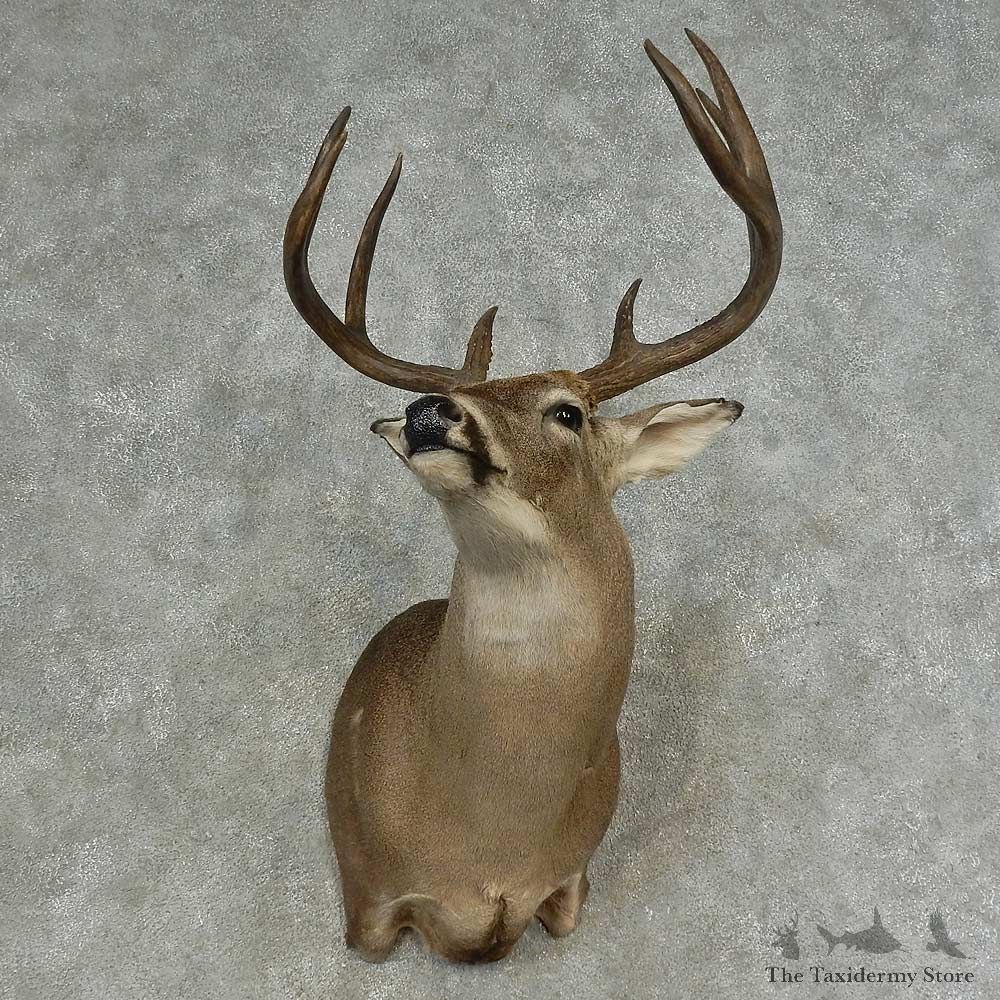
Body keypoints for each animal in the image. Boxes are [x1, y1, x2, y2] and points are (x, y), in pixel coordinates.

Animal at [283, 31, 782, 964]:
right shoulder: (367, 898)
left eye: (568, 412)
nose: (428, 409)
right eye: (456, 395)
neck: (487, 842)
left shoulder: (572, 882)